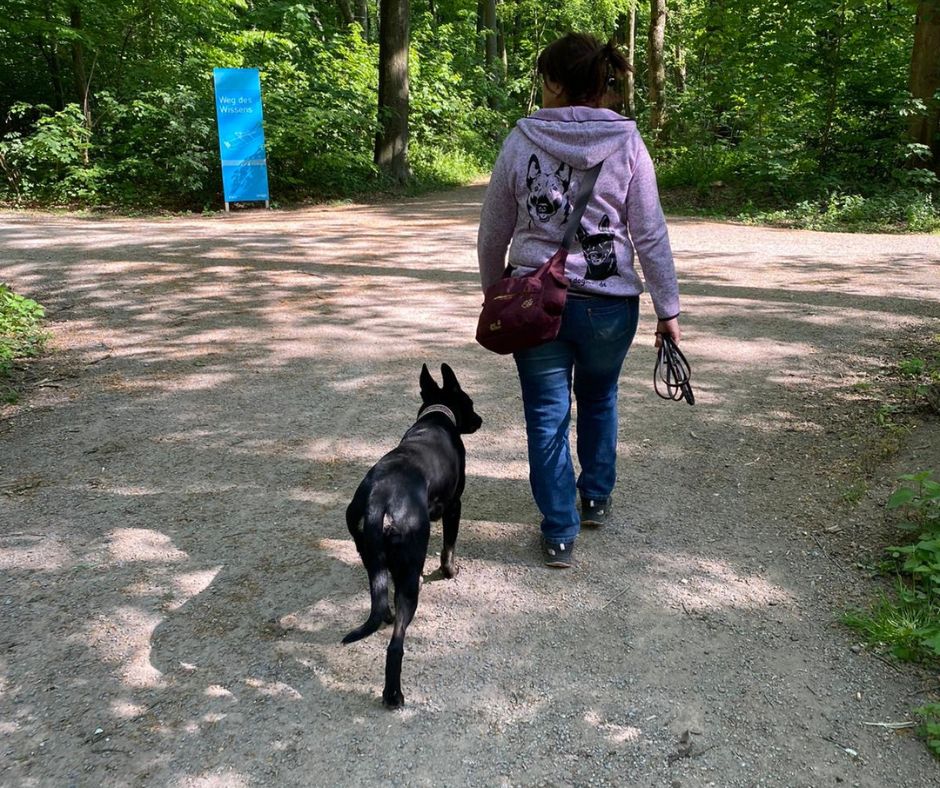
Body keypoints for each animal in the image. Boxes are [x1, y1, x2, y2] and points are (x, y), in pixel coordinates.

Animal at [342, 364, 482, 708]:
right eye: (469, 402)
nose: (480, 420)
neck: (437, 418)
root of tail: (378, 501)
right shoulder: (454, 506)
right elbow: (448, 548)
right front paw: (450, 572)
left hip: (371, 558)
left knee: (380, 602)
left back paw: (387, 616)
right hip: (408, 571)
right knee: (396, 645)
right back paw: (394, 695)